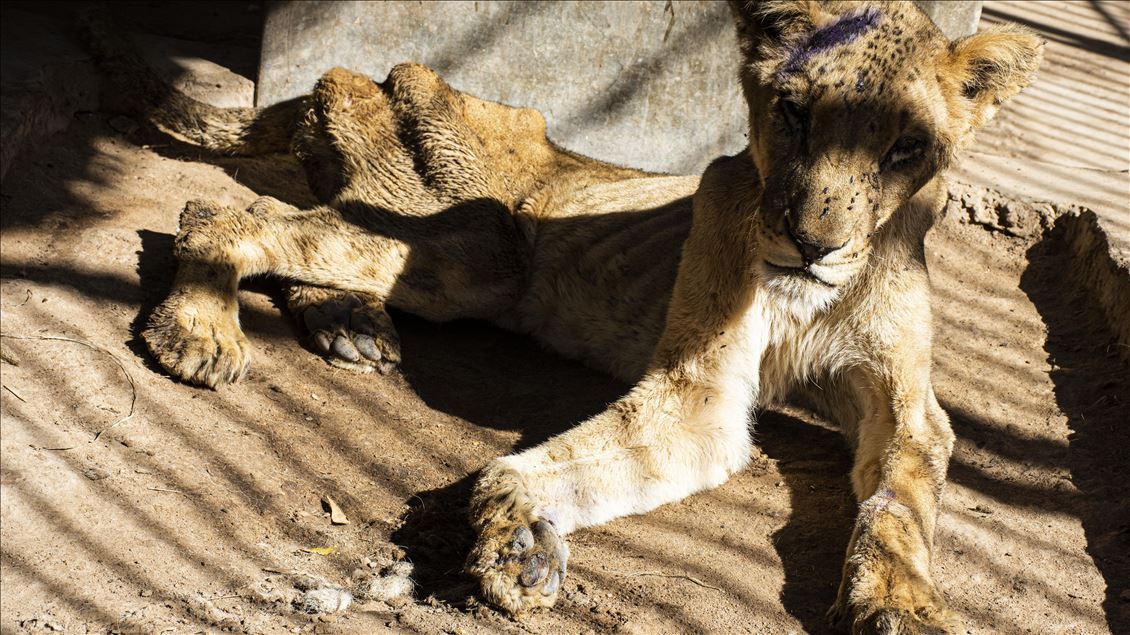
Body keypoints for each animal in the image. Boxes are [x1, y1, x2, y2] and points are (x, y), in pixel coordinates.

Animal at [88, 2, 1039, 628]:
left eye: (906, 147)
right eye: (795, 114)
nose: (812, 242)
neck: (819, 290)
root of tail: (366, 71)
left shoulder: (906, 408)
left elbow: (898, 506)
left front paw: (903, 601)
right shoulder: (698, 390)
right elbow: (535, 464)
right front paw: (516, 538)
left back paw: (348, 328)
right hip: (473, 250)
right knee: (224, 217)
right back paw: (204, 331)